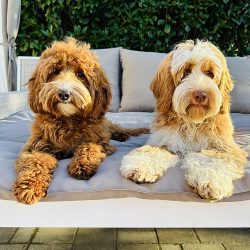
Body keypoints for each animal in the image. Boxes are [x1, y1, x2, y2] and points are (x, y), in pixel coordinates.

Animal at [12, 38, 147, 204]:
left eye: (80, 74)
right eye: (55, 71)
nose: (64, 93)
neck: (68, 119)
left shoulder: (99, 140)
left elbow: (88, 147)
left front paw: (82, 165)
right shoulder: (35, 146)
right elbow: (35, 162)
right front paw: (29, 186)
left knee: (116, 128)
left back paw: (122, 135)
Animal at [121, 40, 248, 201]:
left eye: (209, 73)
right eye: (185, 72)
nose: (200, 95)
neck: (193, 121)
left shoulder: (226, 148)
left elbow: (212, 159)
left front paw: (209, 181)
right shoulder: (163, 141)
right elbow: (151, 151)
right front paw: (140, 166)